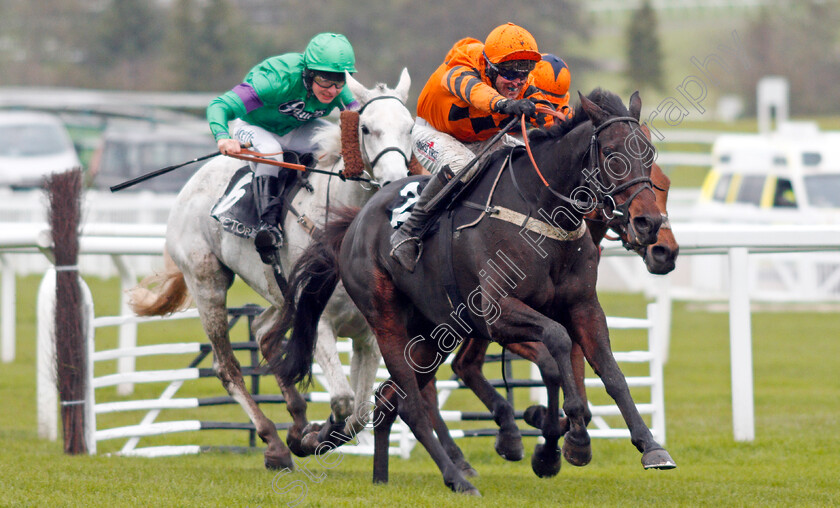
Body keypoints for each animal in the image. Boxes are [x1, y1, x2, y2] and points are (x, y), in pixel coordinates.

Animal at [130, 69, 416, 470]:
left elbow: (360, 413)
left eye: (410, 127)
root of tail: (193, 182)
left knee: (264, 333)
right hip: (208, 283)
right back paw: (276, 442)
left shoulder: (370, 332)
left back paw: (294, 425)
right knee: (227, 366)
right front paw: (315, 437)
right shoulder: (319, 322)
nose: (393, 183)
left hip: (279, 293)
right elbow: (343, 400)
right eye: (367, 128)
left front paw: (312, 433)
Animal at [274, 89, 676, 494]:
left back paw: (376, 472)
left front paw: (649, 446)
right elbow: (557, 344)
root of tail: (354, 222)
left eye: (650, 153)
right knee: (411, 405)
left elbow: (610, 373)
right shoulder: (496, 313)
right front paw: (568, 437)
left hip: (432, 334)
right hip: (386, 322)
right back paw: (456, 477)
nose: (649, 225)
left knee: (389, 399)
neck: (540, 210)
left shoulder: (583, 307)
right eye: (610, 152)